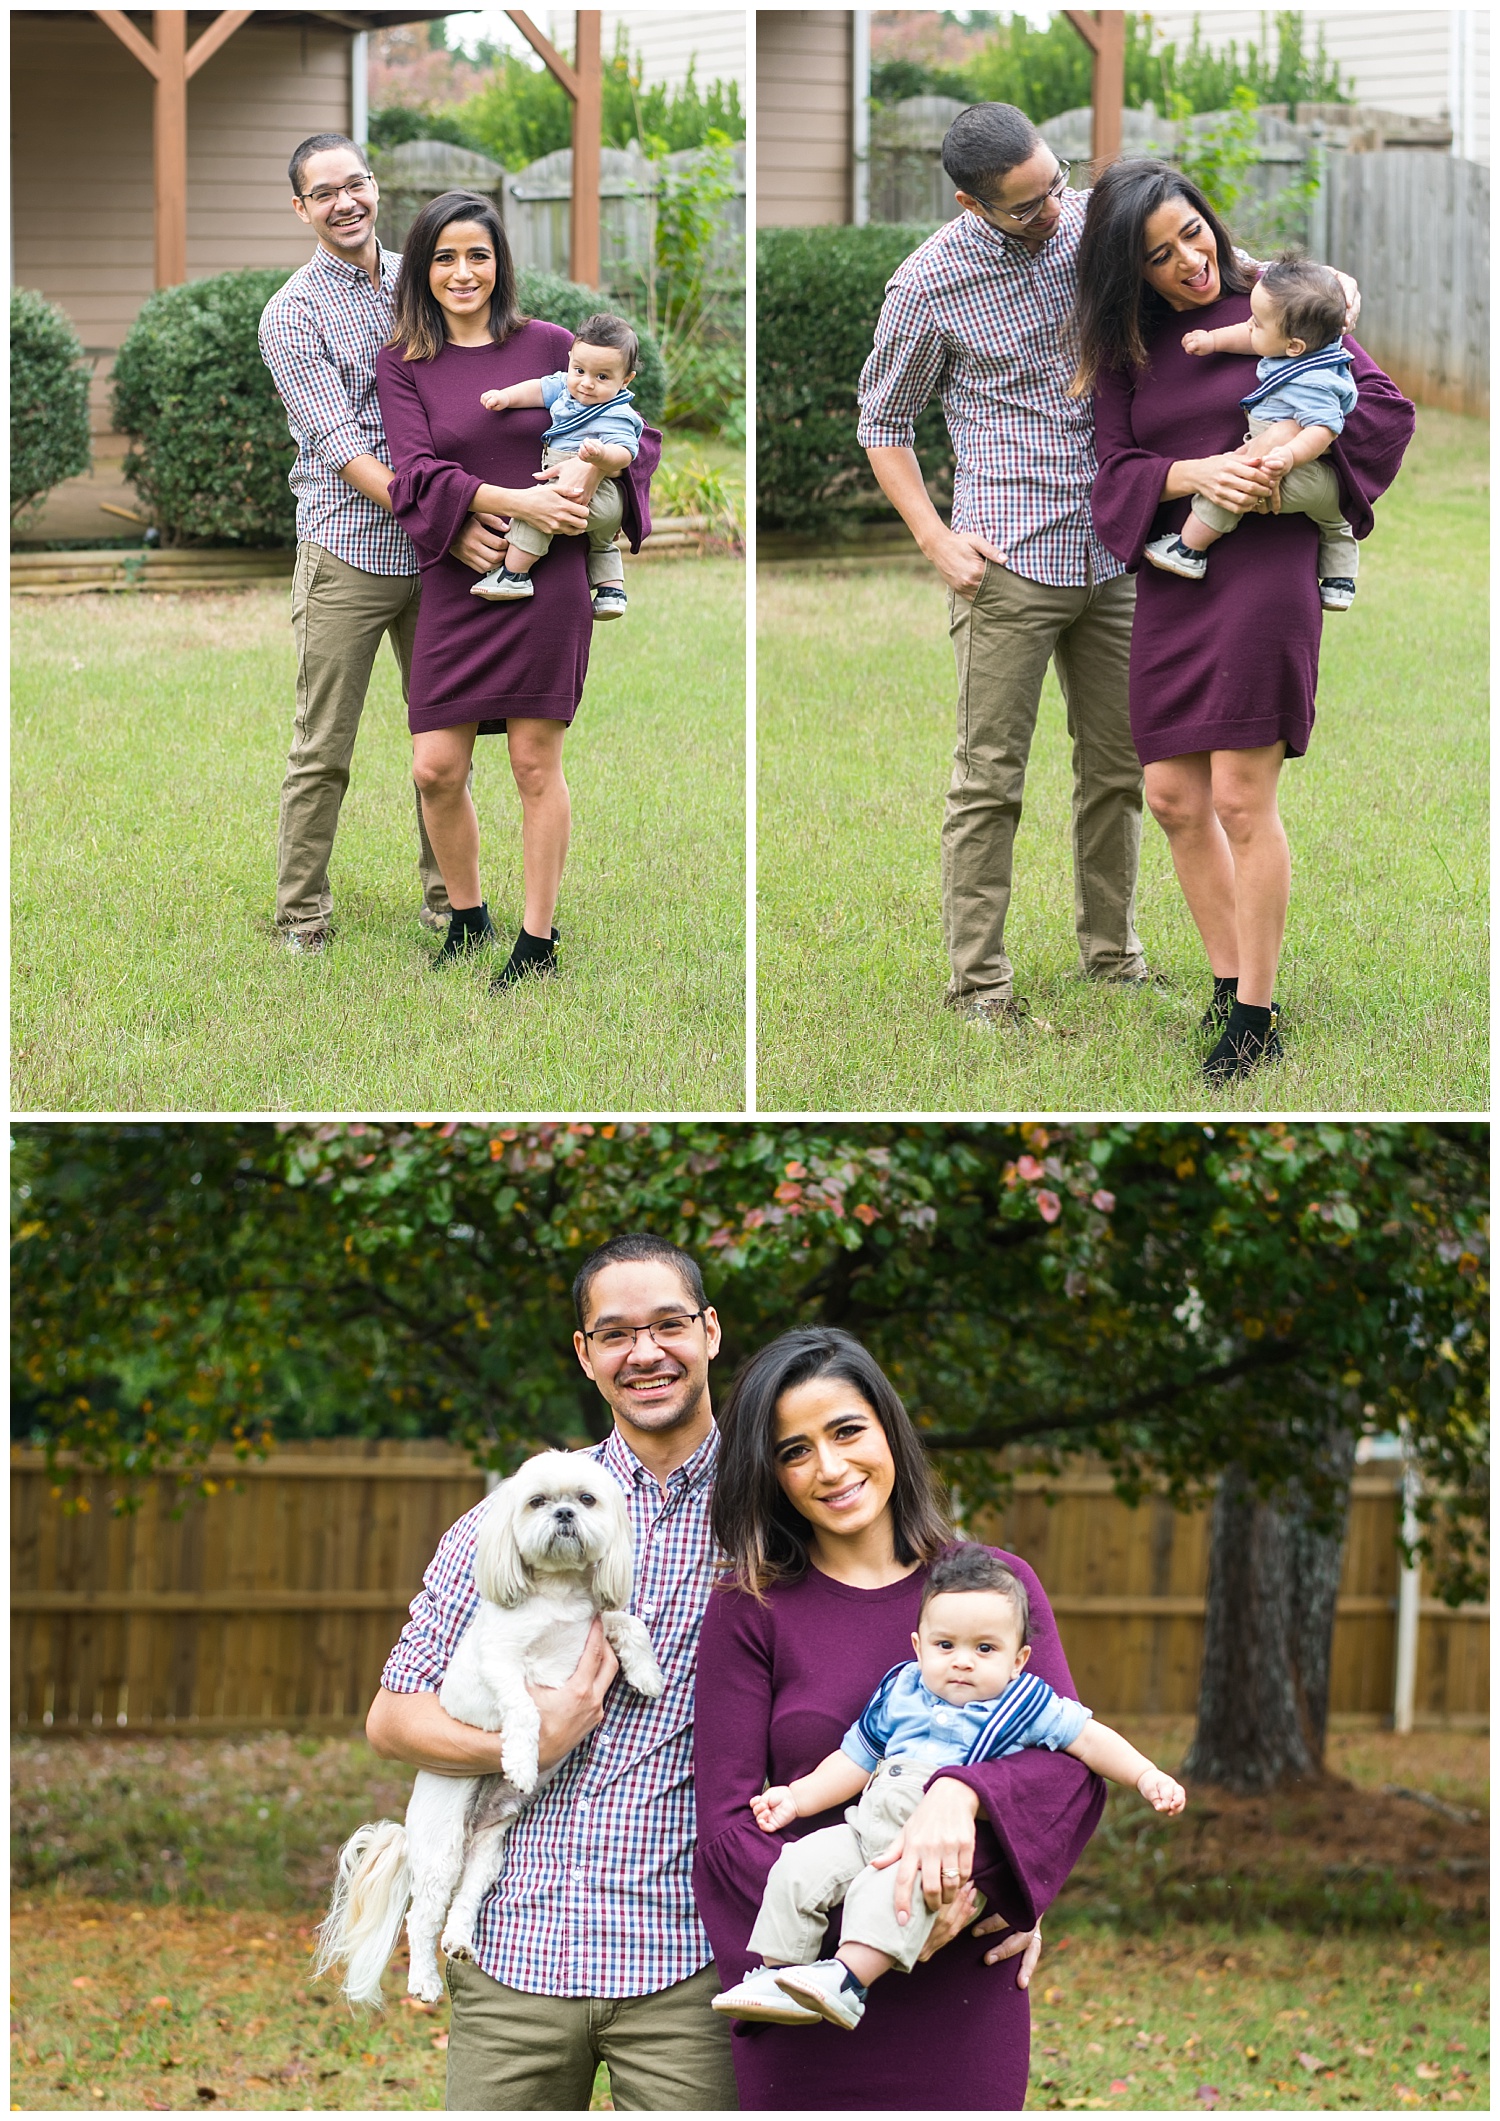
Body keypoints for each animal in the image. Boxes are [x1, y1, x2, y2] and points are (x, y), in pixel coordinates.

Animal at [316, 1450, 661, 1993]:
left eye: (587, 1498)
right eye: (538, 1501)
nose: (564, 1513)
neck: (558, 1592)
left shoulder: (594, 1621)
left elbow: (627, 1621)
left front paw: (646, 1673)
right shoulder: (501, 1660)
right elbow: (522, 1706)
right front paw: (520, 1761)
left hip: (488, 1851)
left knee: (465, 1900)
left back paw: (459, 1941)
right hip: (442, 1846)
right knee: (422, 1916)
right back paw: (424, 1981)